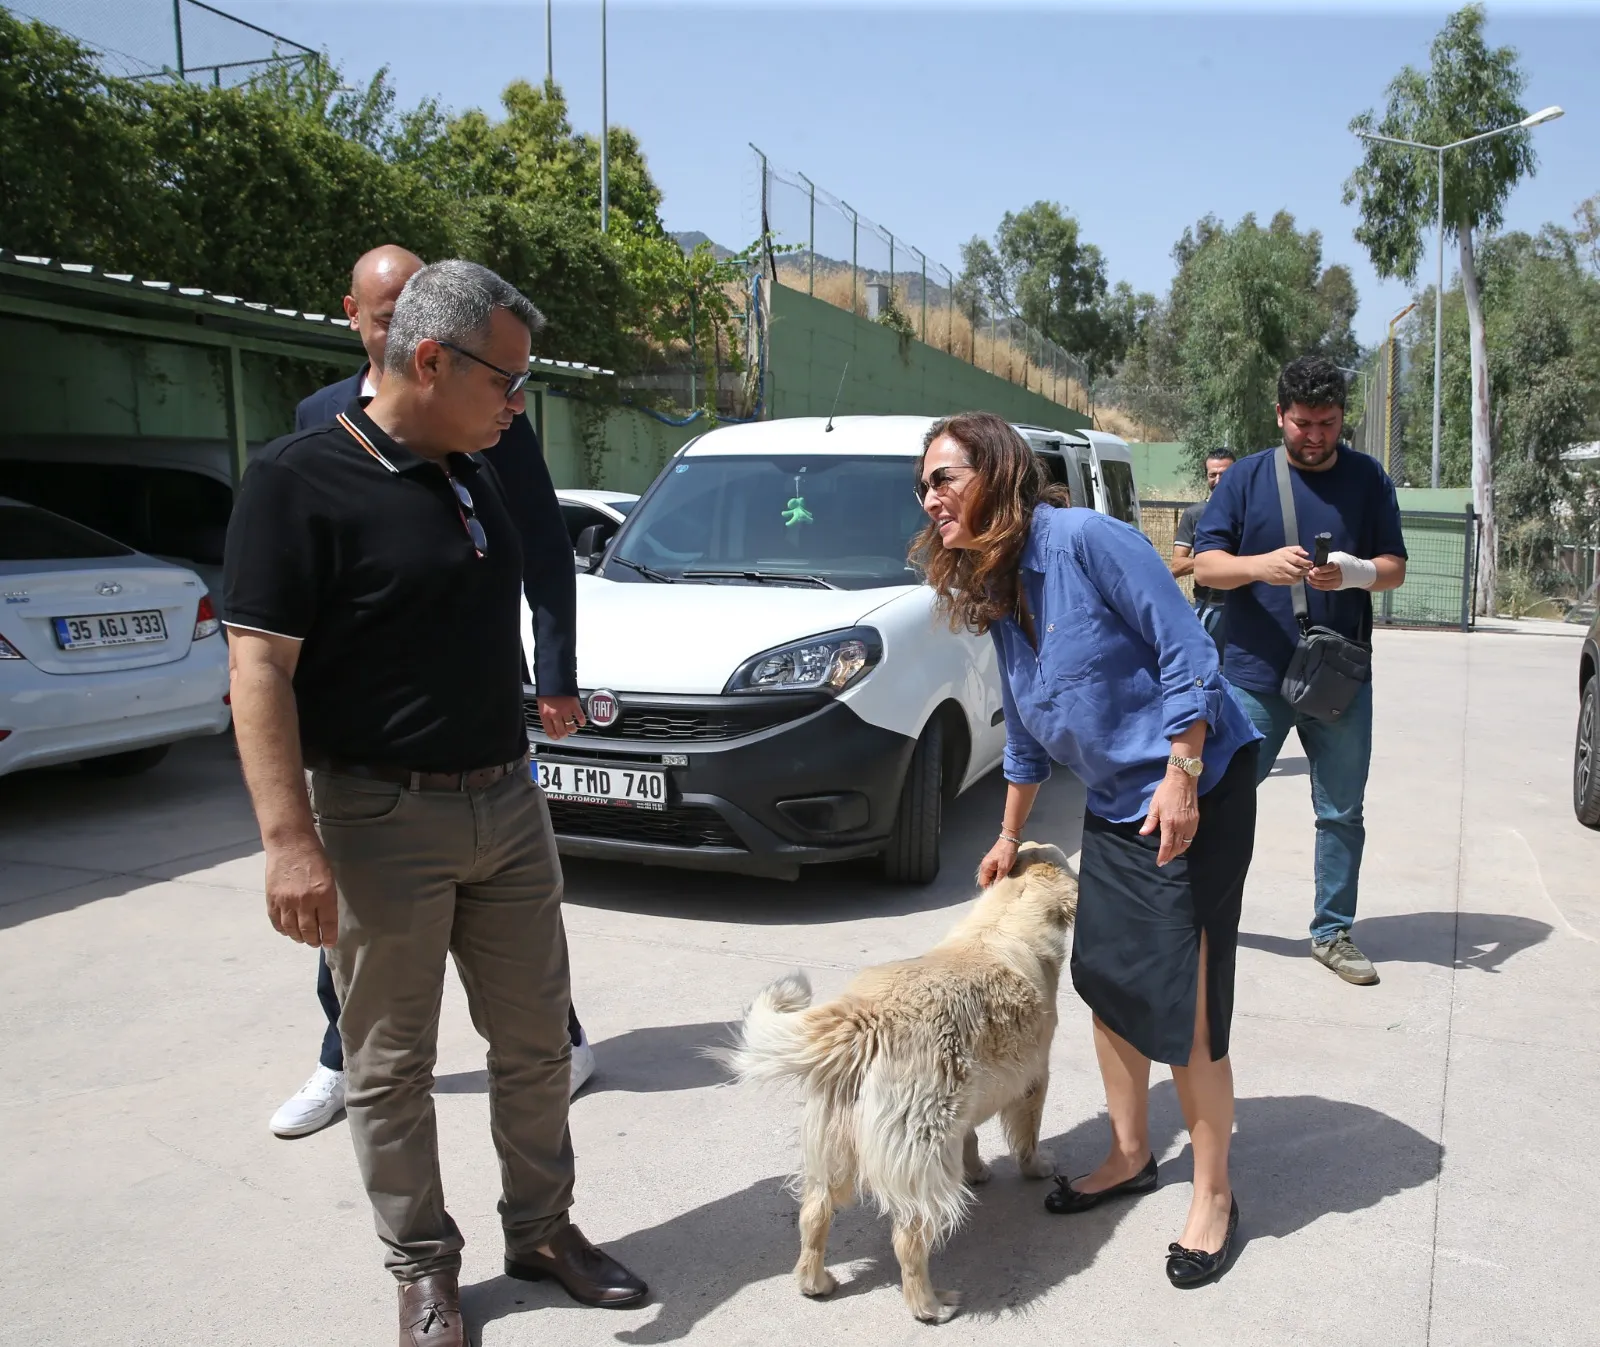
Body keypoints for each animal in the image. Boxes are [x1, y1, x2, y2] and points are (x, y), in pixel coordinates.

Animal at [723, 844, 1075, 1318]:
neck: (1006, 914)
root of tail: (866, 1016)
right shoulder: (1035, 1077)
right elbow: (1028, 1136)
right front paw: (1036, 1168)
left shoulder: (967, 1102)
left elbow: (970, 1137)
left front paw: (978, 1170)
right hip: (922, 1154)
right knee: (908, 1237)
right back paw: (929, 1304)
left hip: (833, 1145)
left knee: (814, 1212)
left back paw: (815, 1282)